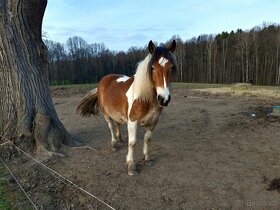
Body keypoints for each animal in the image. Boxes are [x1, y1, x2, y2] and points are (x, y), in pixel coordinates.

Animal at [76, 40, 177, 175]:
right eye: (152, 68)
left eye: (171, 67)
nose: (164, 99)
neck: (144, 97)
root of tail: (104, 79)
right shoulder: (132, 122)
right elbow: (132, 143)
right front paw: (131, 166)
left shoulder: (153, 121)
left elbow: (148, 139)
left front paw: (147, 159)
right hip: (106, 114)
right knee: (111, 126)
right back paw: (114, 144)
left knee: (118, 123)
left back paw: (120, 139)